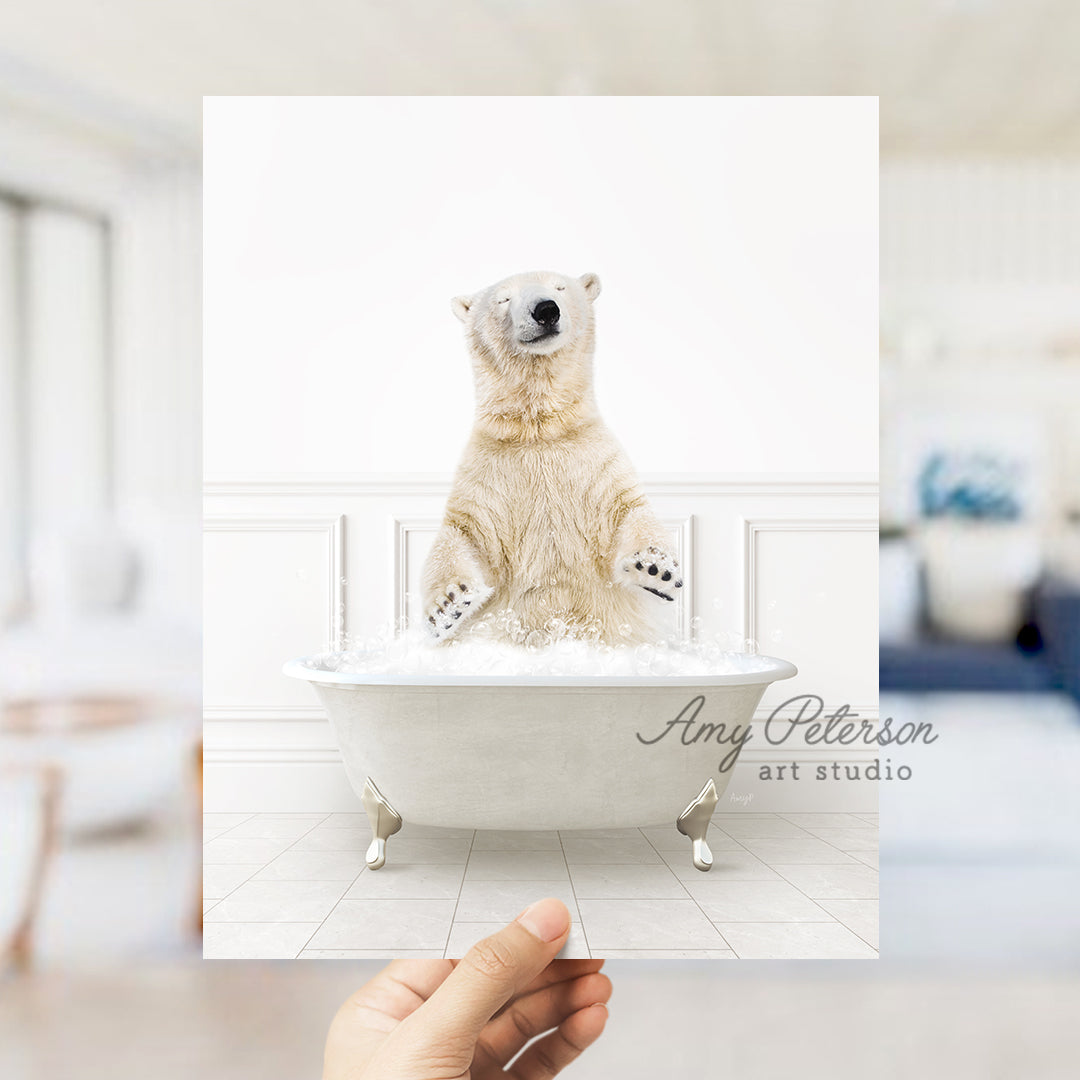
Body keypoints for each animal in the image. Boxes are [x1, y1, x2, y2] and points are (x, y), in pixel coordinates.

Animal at [416, 270, 678, 643]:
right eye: (503, 298)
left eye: (560, 287)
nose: (545, 310)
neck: (539, 427)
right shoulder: (489, 474)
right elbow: (462, 533)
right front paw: (448, 605)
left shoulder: (595, 461)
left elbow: (629, 510)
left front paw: (656, 568)